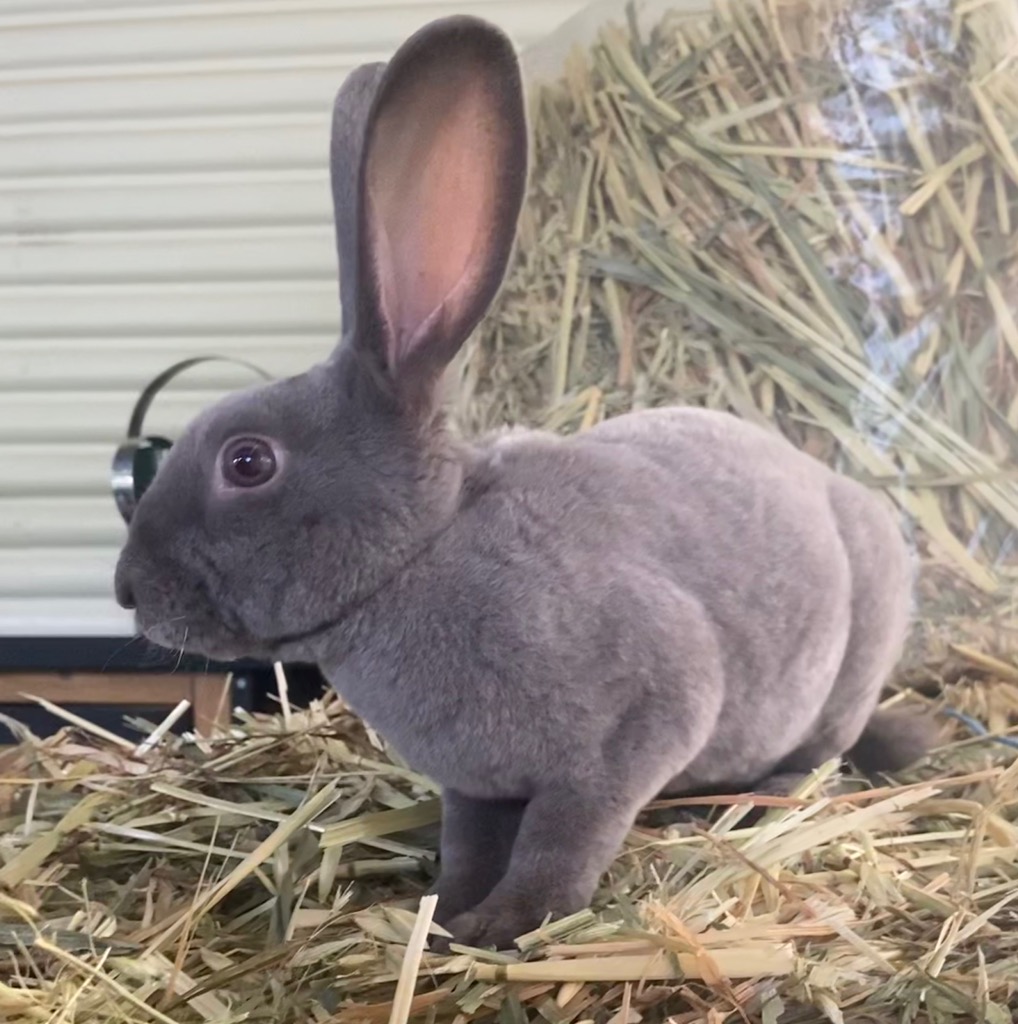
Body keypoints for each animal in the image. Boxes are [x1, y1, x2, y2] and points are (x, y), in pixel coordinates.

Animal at [114, 14, 936, 951]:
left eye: (247, 462)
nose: (128, 590)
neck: (421, 555)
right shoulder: (475, 787)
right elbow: (471, 842)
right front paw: (445, 912)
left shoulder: (633, 730)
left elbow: (564, 836)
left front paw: (508, 922)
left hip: (846, 670)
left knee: (815, 757)